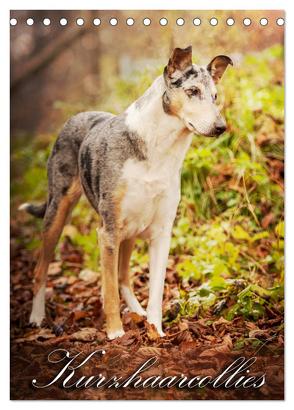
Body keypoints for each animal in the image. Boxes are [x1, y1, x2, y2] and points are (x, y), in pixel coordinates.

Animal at [19, 45, 233, 340]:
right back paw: (37, 317)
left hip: (129, 230)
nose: (221, 127)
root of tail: (78, 115)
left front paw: (156, 330)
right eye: (192, 91)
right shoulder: (107, 230)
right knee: (41, 270)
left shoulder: (161, 234)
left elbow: (155, 290)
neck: (158, 149)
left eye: (215, 96)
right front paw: (115, 333)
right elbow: (109, 290)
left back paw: (137, 312)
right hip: (58, 212)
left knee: (122, 276)